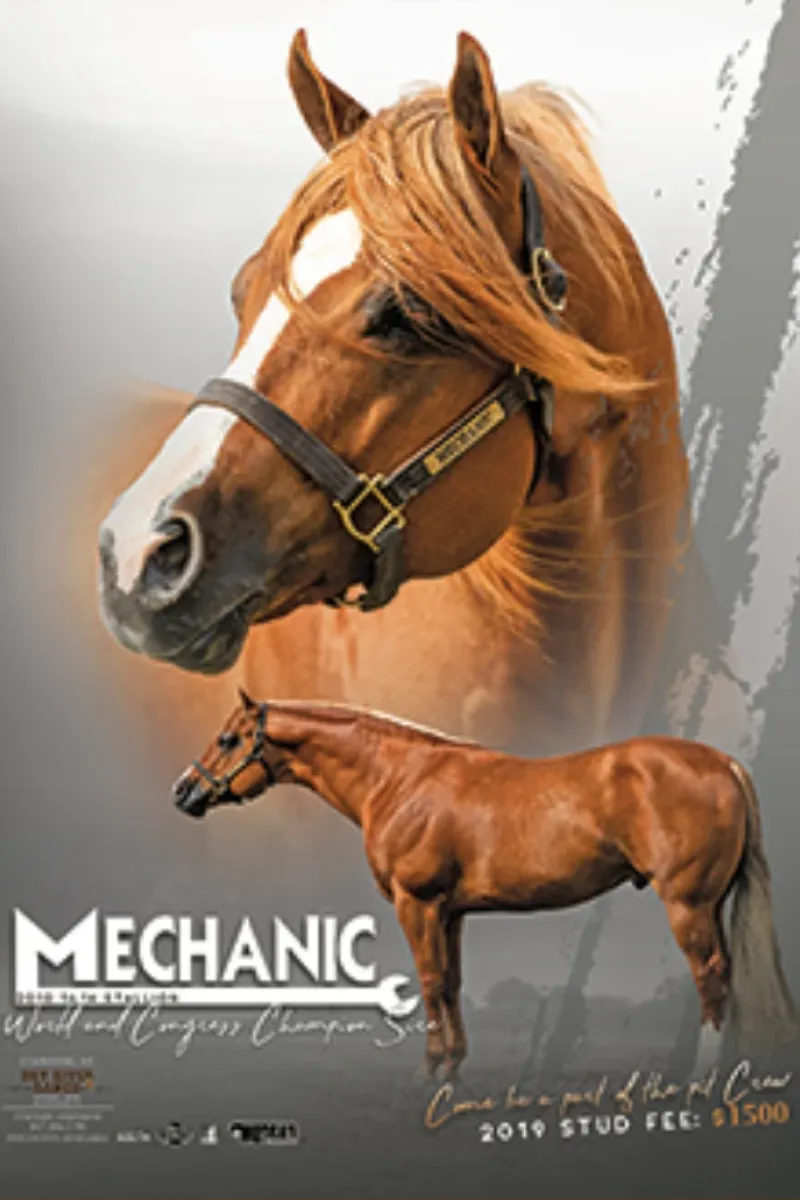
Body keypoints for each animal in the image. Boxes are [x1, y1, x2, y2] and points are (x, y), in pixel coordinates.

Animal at [173, 693, 797, 1079]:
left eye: (228, 739)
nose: (184, 791)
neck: (401, 779)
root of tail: (721, 762)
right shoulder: (451, 913)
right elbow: (451, 982)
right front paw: (454, 1066)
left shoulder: (417, 904)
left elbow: (428, 982)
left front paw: (429, 1069)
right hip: (711, 903)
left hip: (688, 904)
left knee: (710, 976)